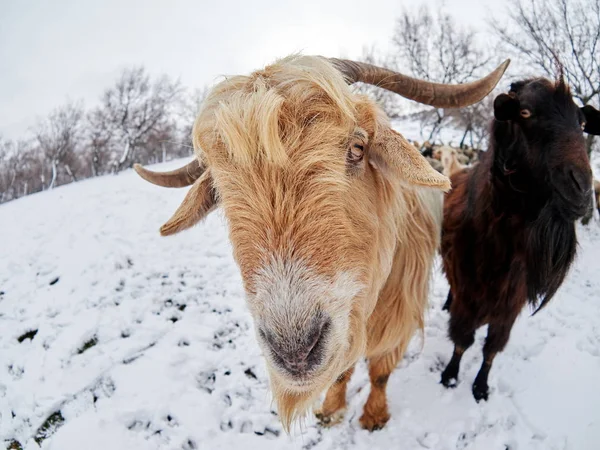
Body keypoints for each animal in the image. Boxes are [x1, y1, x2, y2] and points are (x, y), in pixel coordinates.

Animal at [440, 76, 600, 400]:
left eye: (581, 121)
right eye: (525, 113)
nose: (580, 189)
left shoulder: (510, 305)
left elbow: (491, 349)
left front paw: (481, 387)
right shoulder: (468, 295)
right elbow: (462, 340)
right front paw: (450, 375)